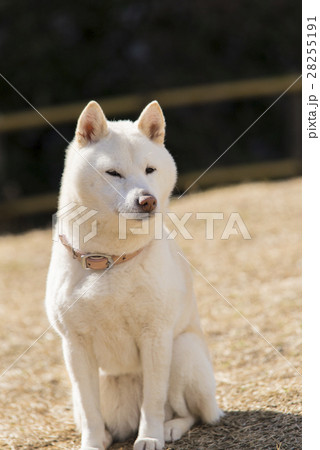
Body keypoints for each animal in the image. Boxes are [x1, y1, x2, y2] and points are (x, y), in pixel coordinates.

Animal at [45, 100, 221, 448]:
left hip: (183, 352)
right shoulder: (75, 346)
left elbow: (152, 401)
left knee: (189, 413)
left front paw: (150, 437)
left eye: (150, 170)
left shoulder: (156, 337)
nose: (147, 200)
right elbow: (90, 408)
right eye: (113, 173)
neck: (110, 258)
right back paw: (107, 435)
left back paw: (170, 428)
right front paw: (92, 442)